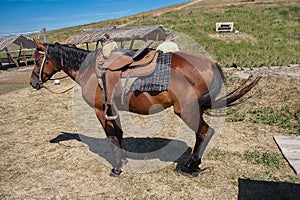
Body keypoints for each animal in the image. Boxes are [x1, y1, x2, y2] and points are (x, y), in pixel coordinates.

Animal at [29, 40, 262, 177]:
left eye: (38, 59)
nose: (33, 82)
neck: (89, 71)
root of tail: (211, 63)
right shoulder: (112, 108)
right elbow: (119, 133)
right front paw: (124, 159)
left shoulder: (99, 110)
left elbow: (111, 137)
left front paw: (116, 168)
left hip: (186, 111)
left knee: (205, 132)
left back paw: (192, 166)